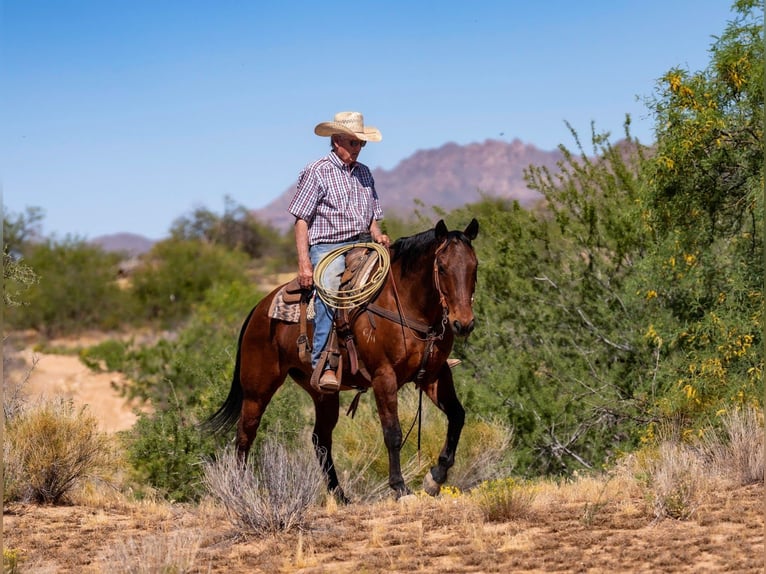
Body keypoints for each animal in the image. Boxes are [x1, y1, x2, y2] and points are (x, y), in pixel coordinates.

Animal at [204, 218, 479, 501]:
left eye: (474, 266)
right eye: (442, 267)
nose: (463, 323)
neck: (406, 303)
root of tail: (259, 308)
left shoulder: (434, 375)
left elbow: (458, 416)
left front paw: (435, 478)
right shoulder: (384, 376)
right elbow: (392, 432)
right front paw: (400, 487)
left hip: (322, 392)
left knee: (320, 439)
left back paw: (339, 495)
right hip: (257, 388)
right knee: (245, 434)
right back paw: (241, 489)